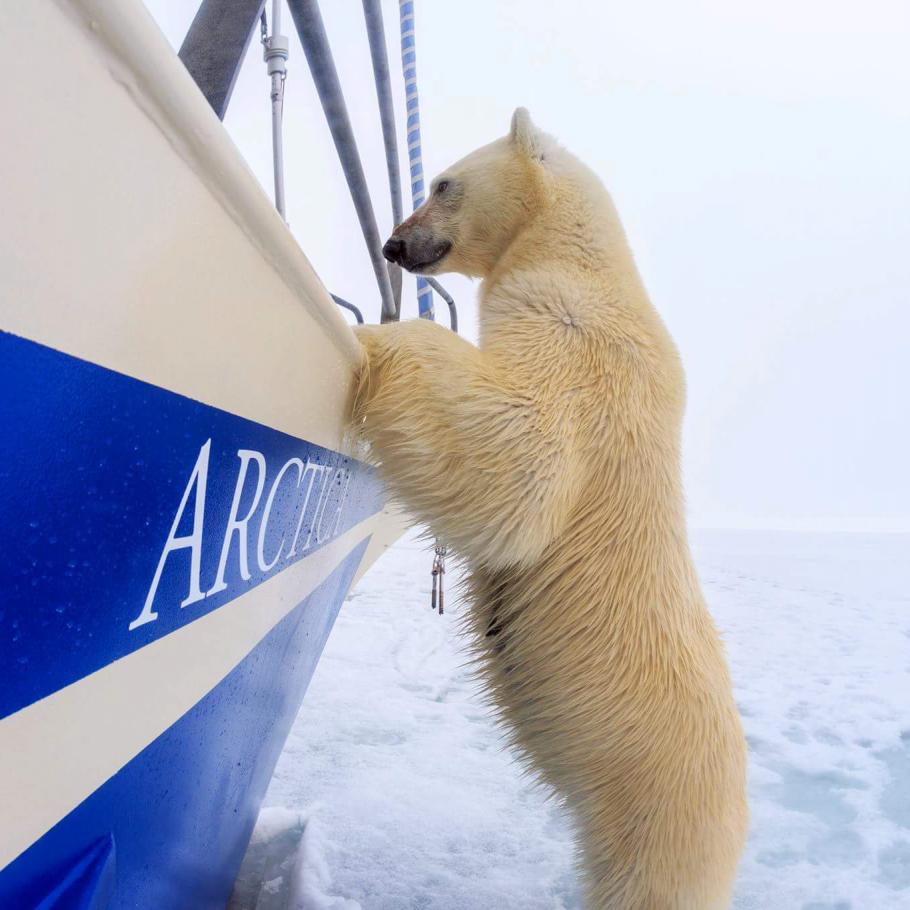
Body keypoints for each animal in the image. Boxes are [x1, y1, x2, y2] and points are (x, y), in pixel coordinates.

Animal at [350, 110, 748, 908]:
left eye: (443, 183)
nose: (393, 245)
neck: (578, 257)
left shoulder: (577, 338)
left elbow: (526, 465)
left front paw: (374, 337)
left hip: (663, 798)